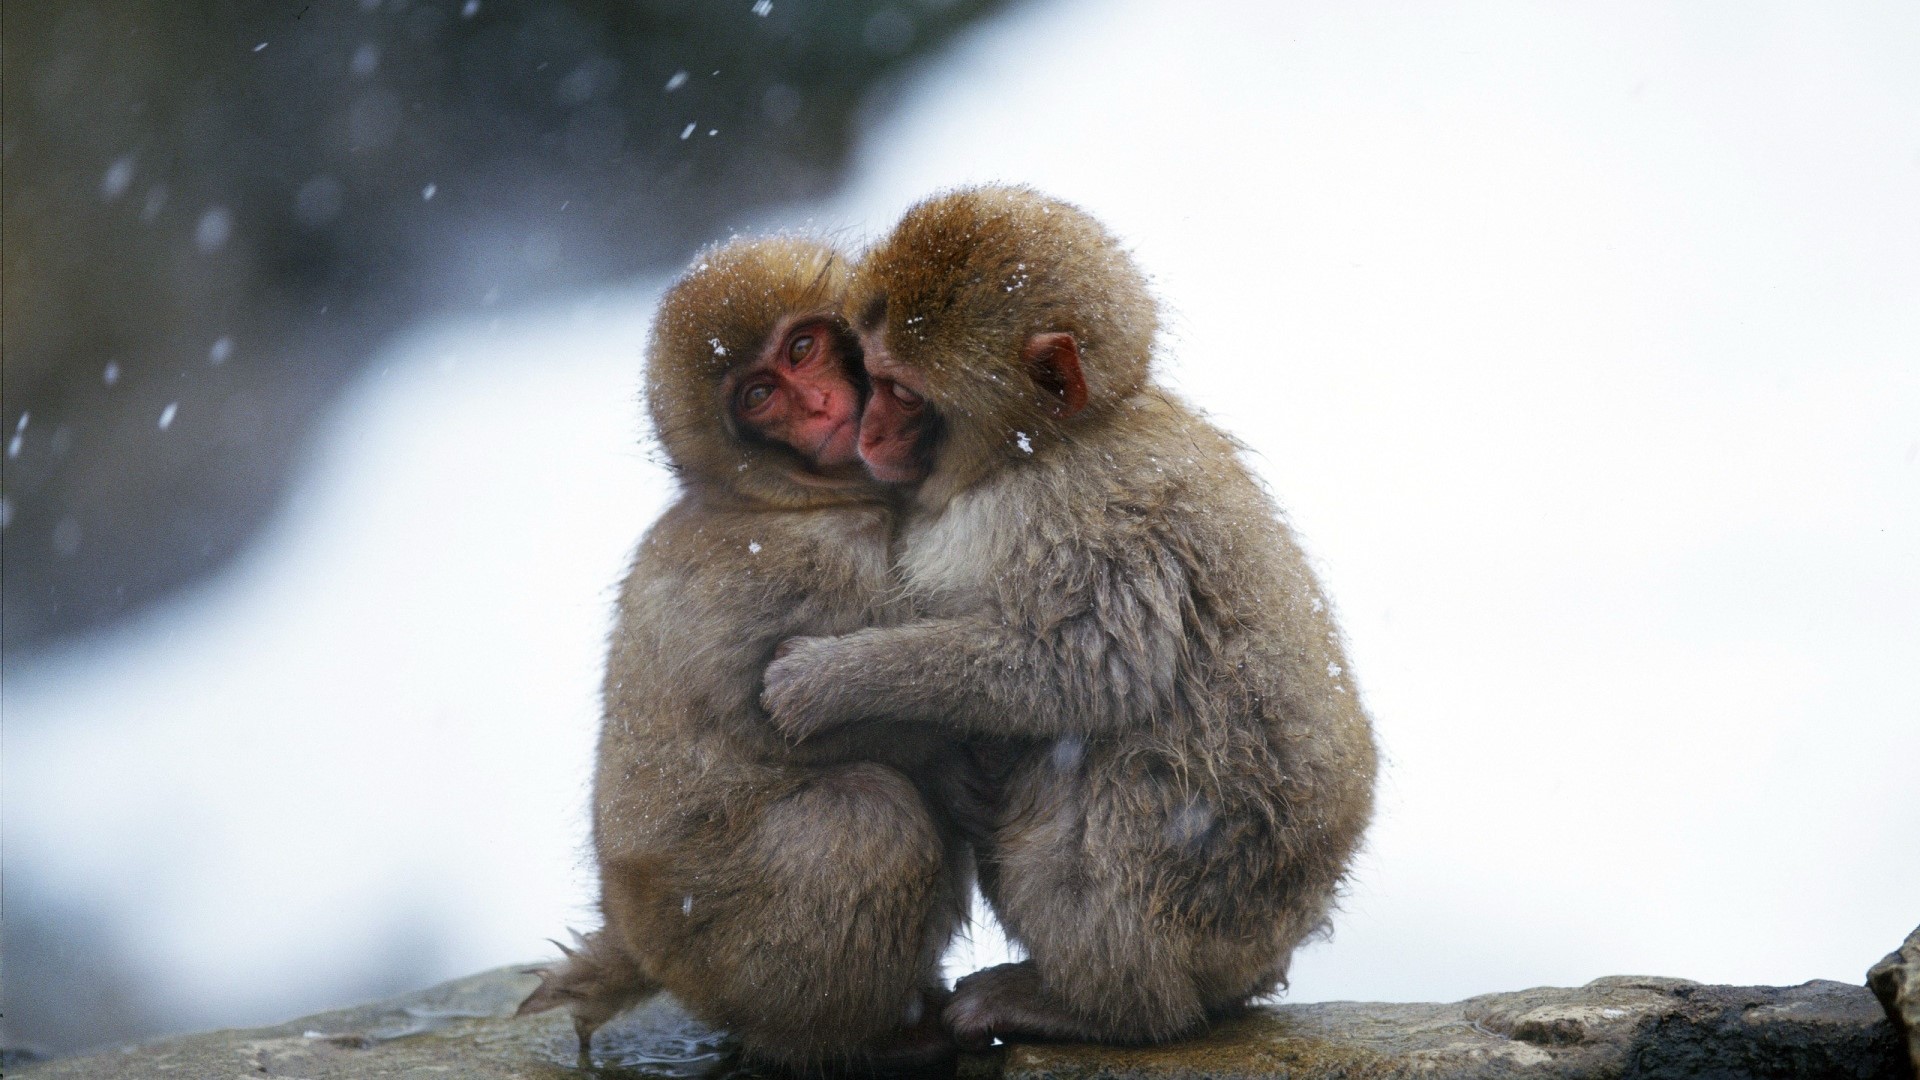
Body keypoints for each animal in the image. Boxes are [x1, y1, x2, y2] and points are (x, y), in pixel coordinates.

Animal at [517, 236, 970, 1073]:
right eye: (760, 395)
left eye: (802, 349)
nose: (819, 406)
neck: (778, 497)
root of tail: (634, 937)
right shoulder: (816, 564)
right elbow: (817, 714)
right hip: (721, 938)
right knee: (868, 820)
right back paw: (860, 1038)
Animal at [760, 186, 1379, 1049]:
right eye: (868, 375)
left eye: (903, 392)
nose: (867, 431)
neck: (1039, 450)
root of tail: (1272, 943)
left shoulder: (1086, 517)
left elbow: (1091, 669)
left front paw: (832, 680)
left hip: (1206, 890)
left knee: (1110, 781)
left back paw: (1101, 1006)